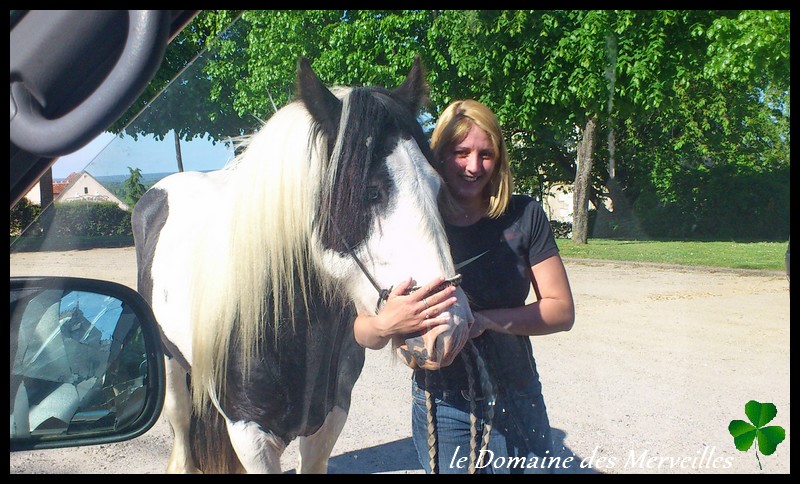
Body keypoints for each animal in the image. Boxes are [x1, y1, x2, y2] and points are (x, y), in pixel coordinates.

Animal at [128, 56, 472, 472]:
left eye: (437, 188)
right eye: (371, 191)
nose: (450, 328)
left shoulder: (329, 420)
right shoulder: (250, 435)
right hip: (169, 360)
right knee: (179, 419)